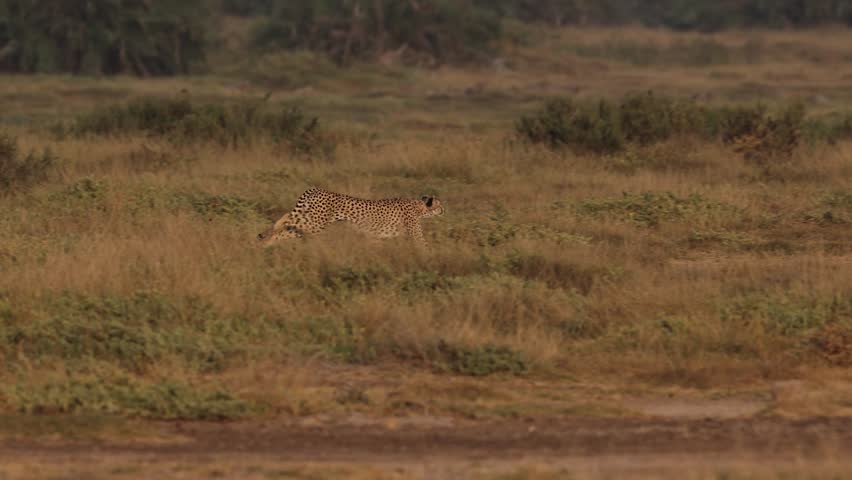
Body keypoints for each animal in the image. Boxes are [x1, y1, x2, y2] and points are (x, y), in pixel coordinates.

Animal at [257, 187, 445, 247]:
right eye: (439, 204)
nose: (444, 210)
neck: (419, 206)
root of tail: (316, 189)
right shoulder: (416, 236)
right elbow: (426, 247)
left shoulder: (376, 237)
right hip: (314, 224)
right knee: (285, 221)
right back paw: (265, 240)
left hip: (310, 223)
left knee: (287, 226)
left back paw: (265, 243)